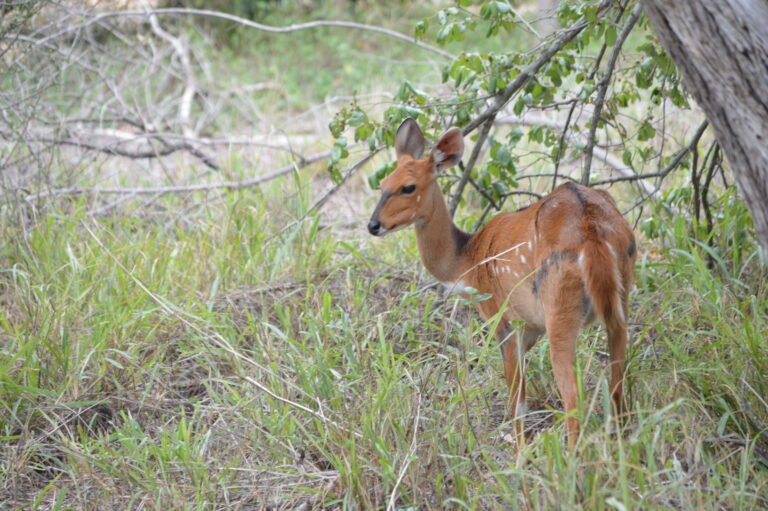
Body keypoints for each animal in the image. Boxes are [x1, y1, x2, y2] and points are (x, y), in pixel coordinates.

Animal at [366, 120, 636, 448]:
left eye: (408, 187)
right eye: (382, 184)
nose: (373, 225)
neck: (468, 260)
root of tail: (592, 231)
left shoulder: (503, 320)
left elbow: (516, 400)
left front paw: (520, 451)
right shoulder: (531, 327)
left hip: (559, 310)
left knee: (574, 398)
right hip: (619, 306)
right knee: (618, 383)